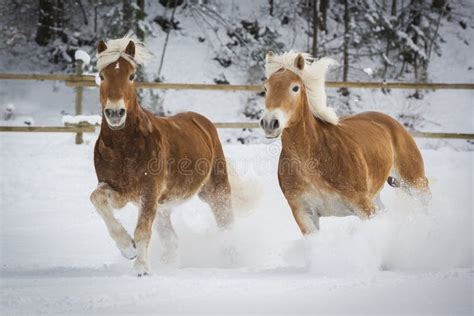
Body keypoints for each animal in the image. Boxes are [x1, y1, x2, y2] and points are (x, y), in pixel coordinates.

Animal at [89, 35, 233, 276]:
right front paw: (128, 249)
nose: (115, 113)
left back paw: (231, 257)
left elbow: (142, 231)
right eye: (101, 75)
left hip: (215, 190)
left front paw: (140, 269)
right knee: (172, 240)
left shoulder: (148, 192)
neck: (124, 147)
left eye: (131, 76)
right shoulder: (118, 190)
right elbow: (96, 199)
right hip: (164, 207)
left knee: (226, 225)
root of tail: (202, 122)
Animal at [260, 51, 430, 235]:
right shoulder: (303, 213)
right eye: (266, 88)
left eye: (295, 88)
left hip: (414, 181)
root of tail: (391, 121)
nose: (269, 123)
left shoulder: (363, 206)